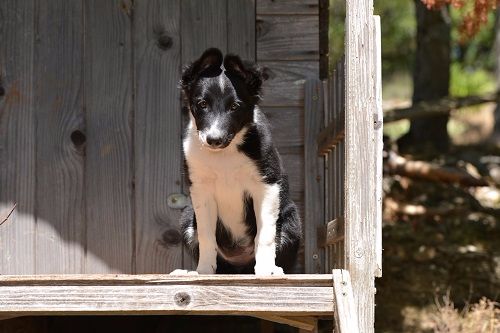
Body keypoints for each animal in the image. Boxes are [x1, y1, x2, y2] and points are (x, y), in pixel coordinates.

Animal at [179, 47, 300, 274]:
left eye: (235, 106)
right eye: (202, 104)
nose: (214, 139)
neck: (225, 155)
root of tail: (239, 265)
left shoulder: (267, 186)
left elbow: (265, 234)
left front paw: (265, 270)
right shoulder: (201, 190)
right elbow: (206, 235)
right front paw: (203, 271)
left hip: (292, 221)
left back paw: (275, 269)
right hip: (186, 217)